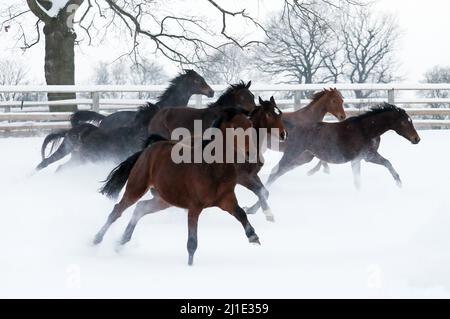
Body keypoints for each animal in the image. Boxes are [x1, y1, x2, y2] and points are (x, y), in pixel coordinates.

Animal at [95, 109, 260, 266]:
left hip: (164, 200)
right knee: (117, 210)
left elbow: (241, 214)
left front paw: (254, 237)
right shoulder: (194, 207)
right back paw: (96, 240)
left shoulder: (226, 199)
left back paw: (121, 241)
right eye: (235, 127)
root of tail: (146, 151)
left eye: (250, 125)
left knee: (141, 208)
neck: (212, 168)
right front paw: (189, 266)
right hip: (136, 188)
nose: (251, 153)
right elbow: (192, 242)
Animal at [268, 104, 420, 190]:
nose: (417, 139)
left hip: (303, 157)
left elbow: (386, 164)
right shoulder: (364, 157)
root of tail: (293, 127)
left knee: (278, 171)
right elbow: (361, 178)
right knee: (276, 171)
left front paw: (399, 184)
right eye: (404, 122)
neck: (366, 130)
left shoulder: (365, 157)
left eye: (411, 121)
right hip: (293, 153)